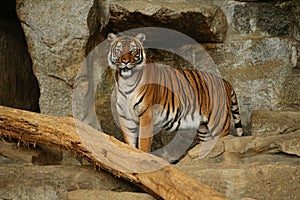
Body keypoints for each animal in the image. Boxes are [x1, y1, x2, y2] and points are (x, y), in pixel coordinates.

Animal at [106, 32, 243, 155]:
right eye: (118, 50)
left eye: (133, 50)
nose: (125, 61)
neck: (126, 81)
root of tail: (225, 81)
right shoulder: (126, 117)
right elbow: (130, 144)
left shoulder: (146, 114)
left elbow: (143, 144)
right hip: (204, 130)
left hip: (219, 124)